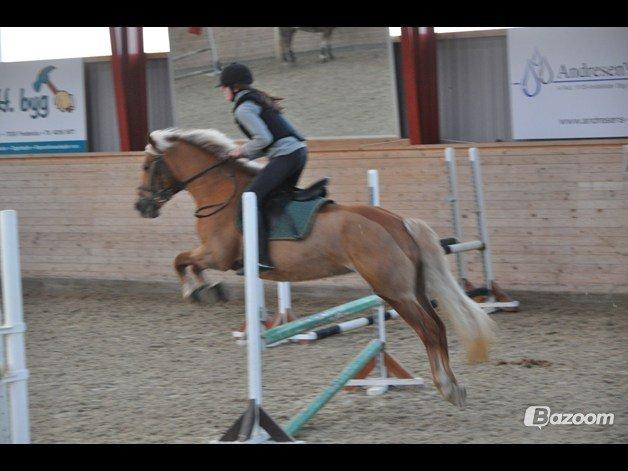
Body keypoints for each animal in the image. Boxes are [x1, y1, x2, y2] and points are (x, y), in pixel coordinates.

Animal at [136, 129, 496, 410]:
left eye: (146, 166)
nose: (142, 206)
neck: (222, 191)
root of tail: (396, 222)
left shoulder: (217, 255)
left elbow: (181, 259)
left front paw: (198, 290)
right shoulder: (215, 256)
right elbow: (184, 260)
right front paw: (206, 289)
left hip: (395, 292)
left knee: (430, 330)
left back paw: (447, 388)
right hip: (413, 289)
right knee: (439, 326)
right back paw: (453, 386)